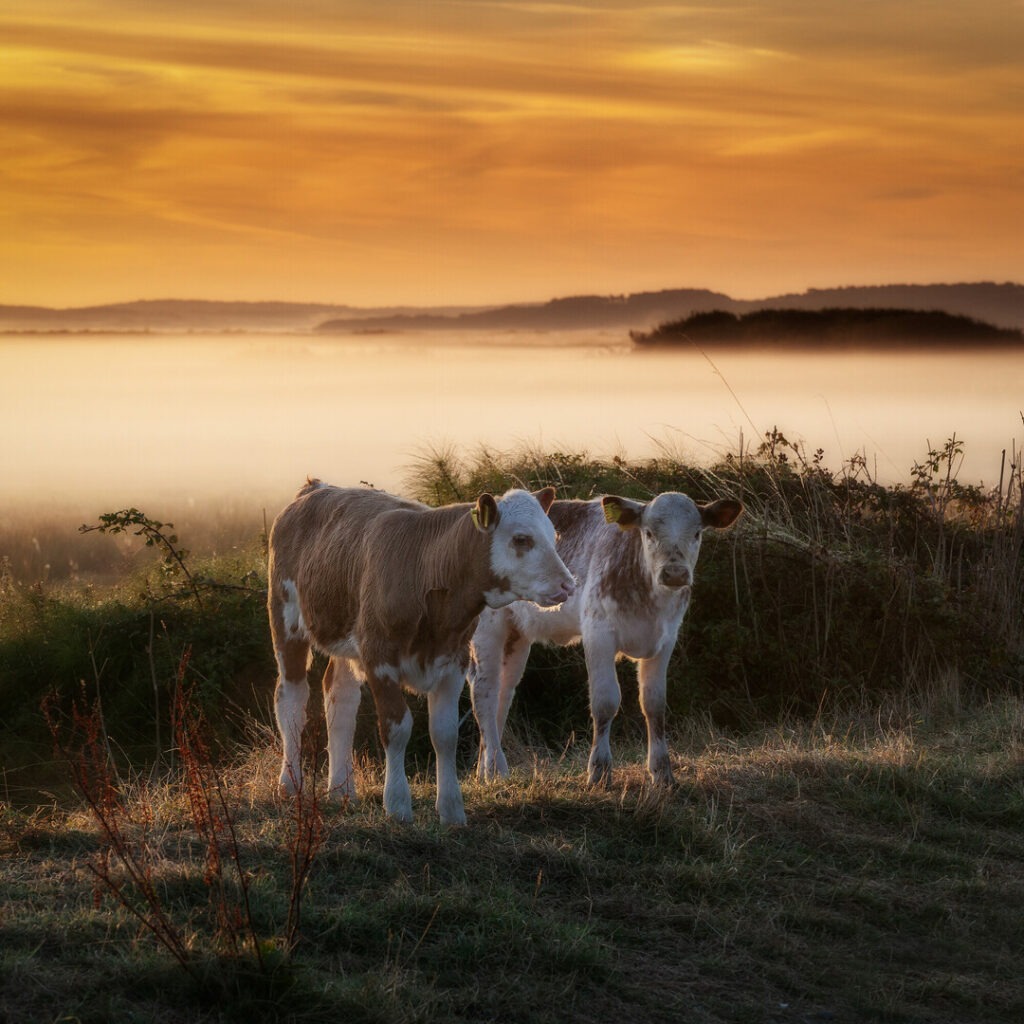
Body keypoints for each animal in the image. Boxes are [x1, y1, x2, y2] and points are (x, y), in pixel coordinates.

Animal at [267, 480, 575, 825]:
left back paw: (342, 790)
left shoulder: (454, 659)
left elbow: (444, 733)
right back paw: (289, 783)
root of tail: (316, 487)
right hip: (286, 618)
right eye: (521, 539)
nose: (568, 585)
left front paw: (452, 809)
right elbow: (396, 728)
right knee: (292, 699)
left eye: (553, 536)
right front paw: (397, 804)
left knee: (340, 698)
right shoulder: (379, 656)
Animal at [469, 491, 742, 788]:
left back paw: (488, 770)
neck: (650, 602)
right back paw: (494, 767)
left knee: (504, 691)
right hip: (487, 630)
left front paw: (662, 773)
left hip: (517, 636)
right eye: (648, 533)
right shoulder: (597, 633)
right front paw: (599, 770)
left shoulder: (666, 640)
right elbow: (605, 702)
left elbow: (655, 704)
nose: (674, 573)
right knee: (484, 692)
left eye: (696, 533)